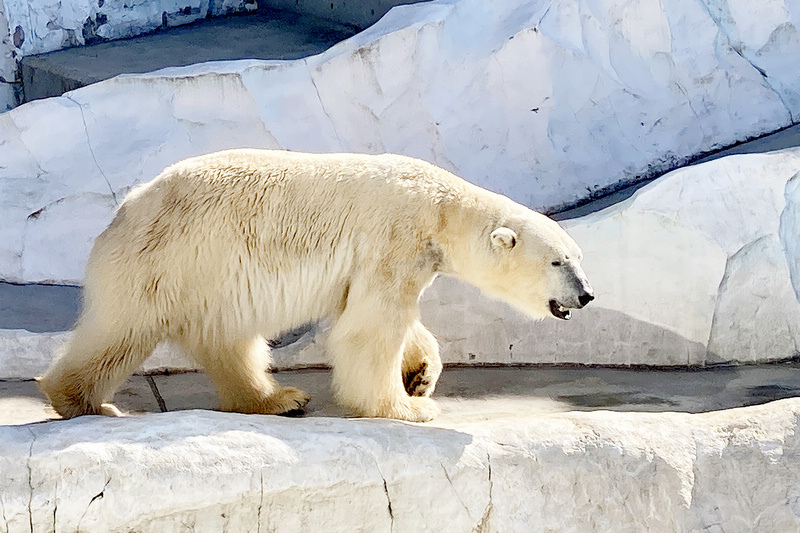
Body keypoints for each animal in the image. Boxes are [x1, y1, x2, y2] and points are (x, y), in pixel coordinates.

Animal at [39, 150, 592, 420]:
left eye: (579, 258)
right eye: (558, 261)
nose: (586, 295)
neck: (442, 208)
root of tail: (123, 211)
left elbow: (374, 313)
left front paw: (421, 374)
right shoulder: (395, 237)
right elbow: (371, 327)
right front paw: (408, 407)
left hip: (205, 279)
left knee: (230, 341)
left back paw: (277, 399)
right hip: (167, 260)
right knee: (120, 330)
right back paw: (85, 402)